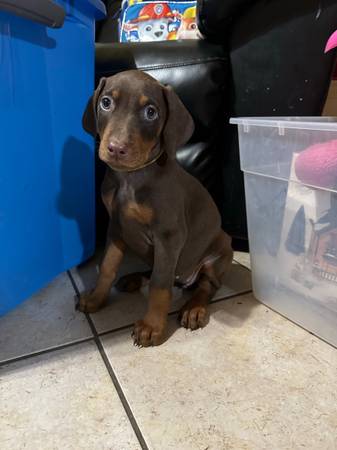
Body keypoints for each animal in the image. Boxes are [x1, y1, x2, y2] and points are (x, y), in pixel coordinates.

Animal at [80, 68, 232, 346]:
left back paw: (194, 308)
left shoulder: (168, 236)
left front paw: (151, 326)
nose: (116, 148)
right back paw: (133, 278)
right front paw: (96, 299)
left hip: (221, 251)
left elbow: (160, 286)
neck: (130, 178)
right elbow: (107, 266)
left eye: (151, 112)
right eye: (106, 102)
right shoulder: (116, 227)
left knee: (207, 285)